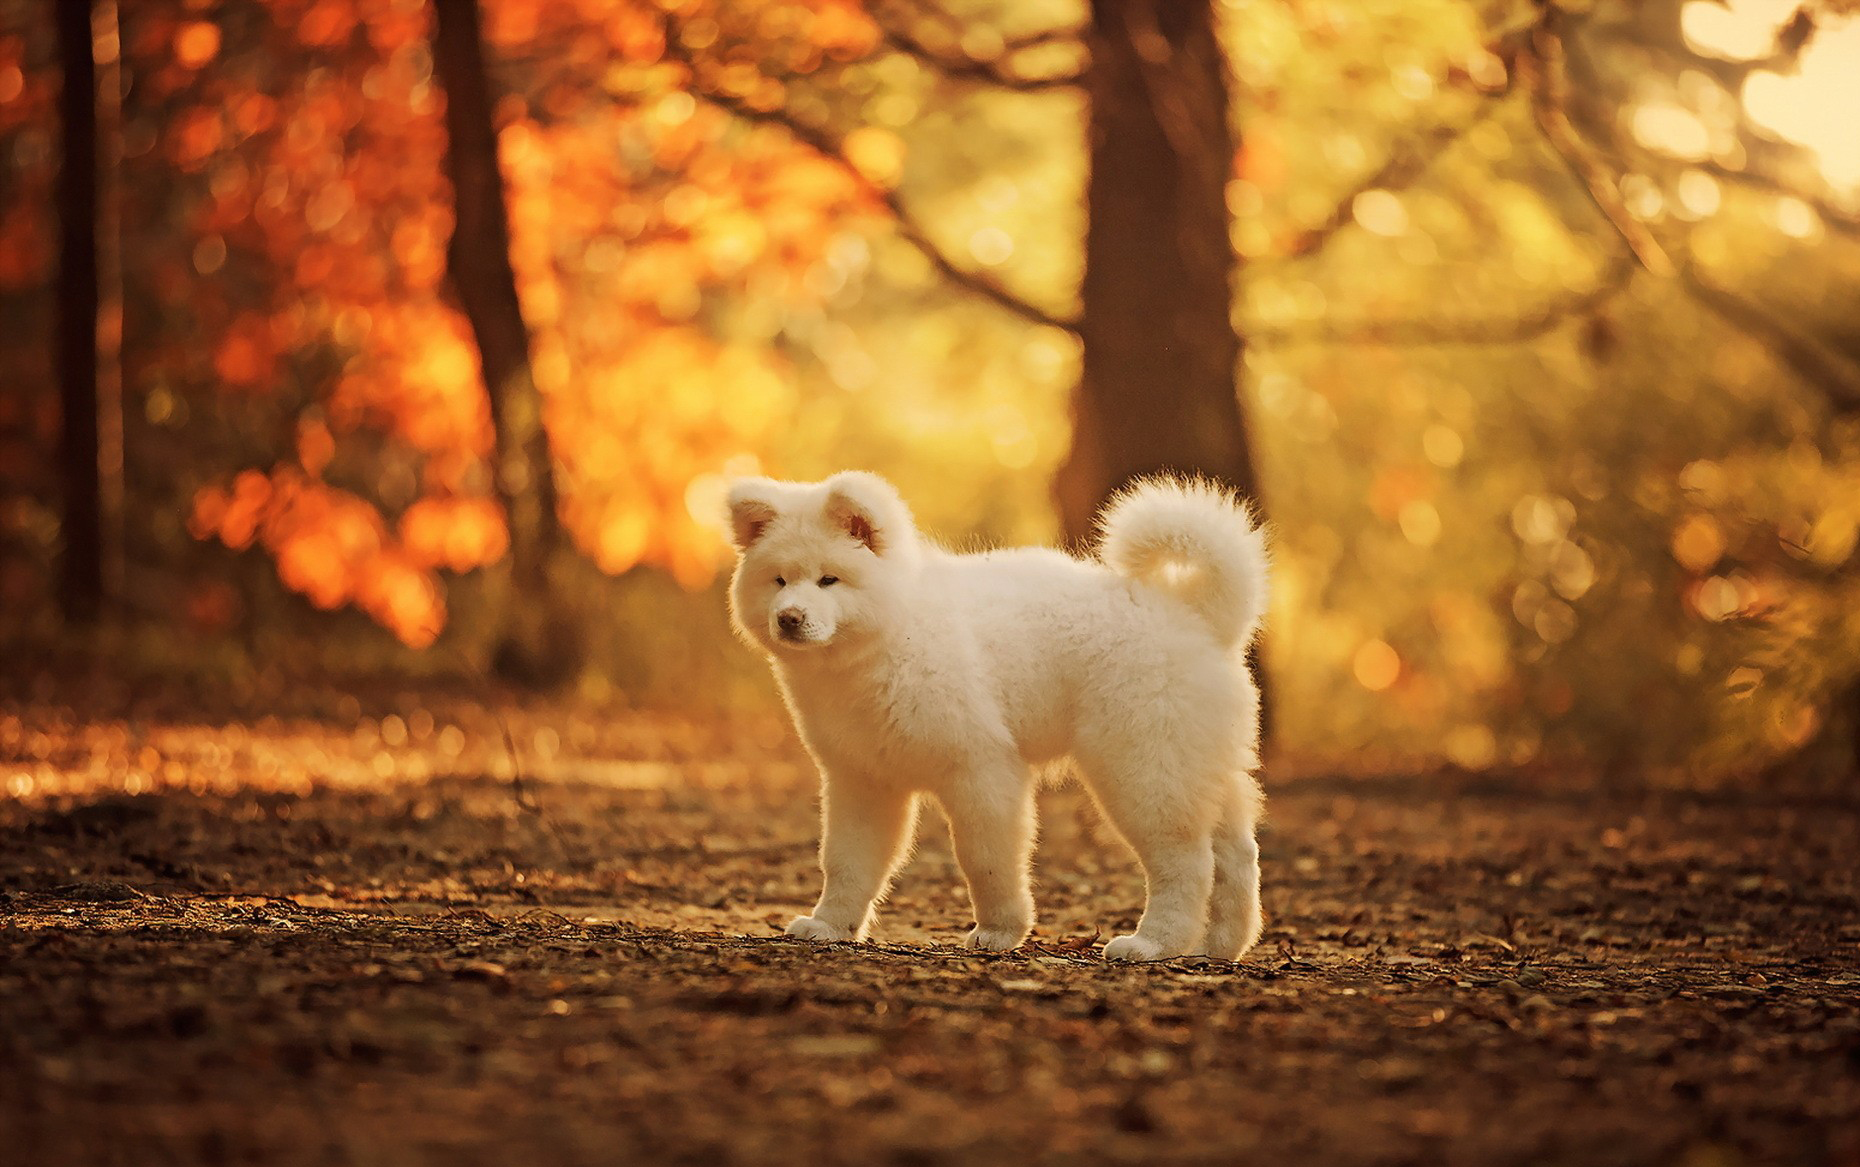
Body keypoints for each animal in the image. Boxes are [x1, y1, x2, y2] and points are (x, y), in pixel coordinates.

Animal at [721, 470, 1264, 960]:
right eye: (779, 580)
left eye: (829, 579)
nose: (789, 617)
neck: (888, 638)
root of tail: (1197, 615)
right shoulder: (862, 780)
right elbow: (846, 862)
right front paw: (830, 926)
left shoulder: (980, 768)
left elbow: (986, 860)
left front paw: (1000, 932)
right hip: (1199, 768)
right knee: (1237, 856)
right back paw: (1219, 948)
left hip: (1145, 769)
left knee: (1186, 862)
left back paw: (1154, 943)